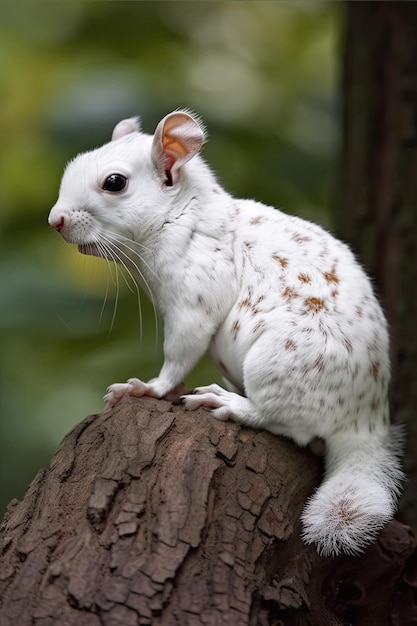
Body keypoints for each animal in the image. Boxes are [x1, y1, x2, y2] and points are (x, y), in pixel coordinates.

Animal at [48, 109, 404, 552]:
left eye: (115, 182)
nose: (55, 220)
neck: (181, 216)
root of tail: (365, 421)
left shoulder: (196, 292)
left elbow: (180, 351)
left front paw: (147, 388)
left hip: (276, 363)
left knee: (290, 426)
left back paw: (232, 404)